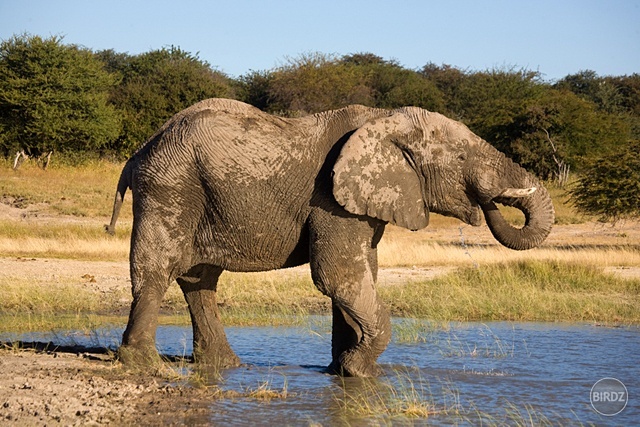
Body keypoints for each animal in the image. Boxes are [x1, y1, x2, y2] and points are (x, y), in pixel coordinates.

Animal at [106, 98, 556, 378]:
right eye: (461, 158)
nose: (487, 205)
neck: (385, 119)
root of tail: (139, 150)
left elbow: (361, 273)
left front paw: (347, 373)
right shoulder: (330, 197)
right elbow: (338, 275)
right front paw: (359, 369)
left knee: (200, 279)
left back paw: (225, 367)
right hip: (171, 184)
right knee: (159, 267)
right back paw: (143, 364)